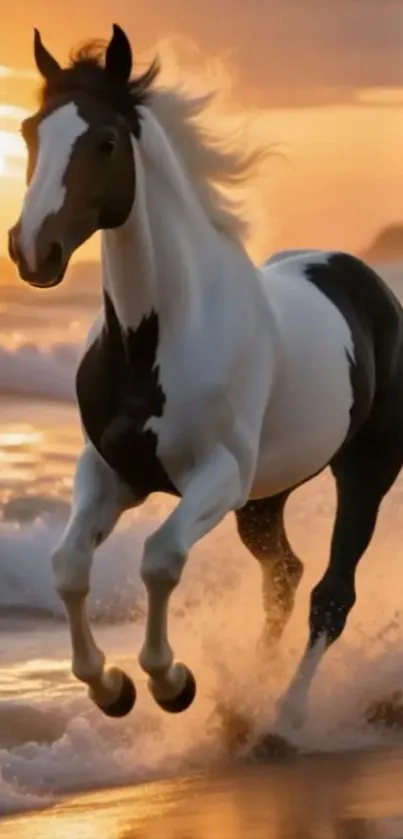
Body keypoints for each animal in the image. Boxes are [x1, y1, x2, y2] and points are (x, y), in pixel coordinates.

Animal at [8, 24, 403, 731]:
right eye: (30, 131)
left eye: (105, 142)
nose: (32, 253)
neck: (156, 342)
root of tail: (365, 277)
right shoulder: (111, 471)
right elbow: (69, 566)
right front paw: (112, 689)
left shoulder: (215, 475)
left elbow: (161, 558)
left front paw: (172, 683)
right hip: (264, 498)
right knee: (285, 576)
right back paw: (246, 702)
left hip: (364, 470)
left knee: (331, 593)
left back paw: (284, 717)